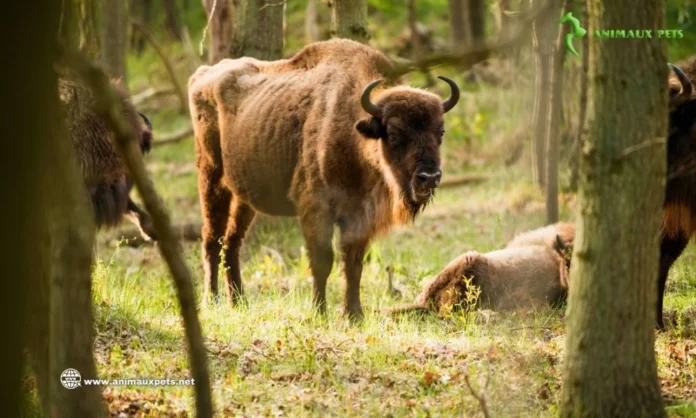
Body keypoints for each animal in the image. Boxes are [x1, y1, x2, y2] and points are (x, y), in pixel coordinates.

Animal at [189, 40, 462, 320]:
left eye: (440, 132)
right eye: (394, 133)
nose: (429, 177)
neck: (354, 134)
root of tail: (202, 75)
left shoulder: (359, 218)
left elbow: (353, 263)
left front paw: (354, 315)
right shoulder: (316, 209)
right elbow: (323, 261)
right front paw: (319, 311)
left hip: (243, 196)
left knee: (232, 242)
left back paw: (239, 302)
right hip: (211, 178)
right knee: (212, 238)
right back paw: (212, 300)